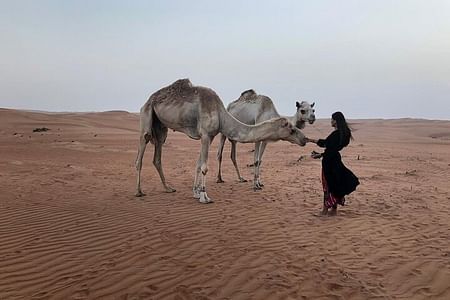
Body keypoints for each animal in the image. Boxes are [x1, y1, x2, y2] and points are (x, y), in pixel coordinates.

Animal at [135, 78, 308, 203]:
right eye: (291, 129)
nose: (305, 139)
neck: (221, 115)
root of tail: (149, 99)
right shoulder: (205, 135)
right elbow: (204, 167)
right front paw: (204, 197)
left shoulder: (210, 136)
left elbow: (198, 164)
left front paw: (196, 192)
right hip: (147, 115)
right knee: (141, 152)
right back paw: (139, 191)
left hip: (160, 127)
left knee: (158, 155)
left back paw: (168, 188)